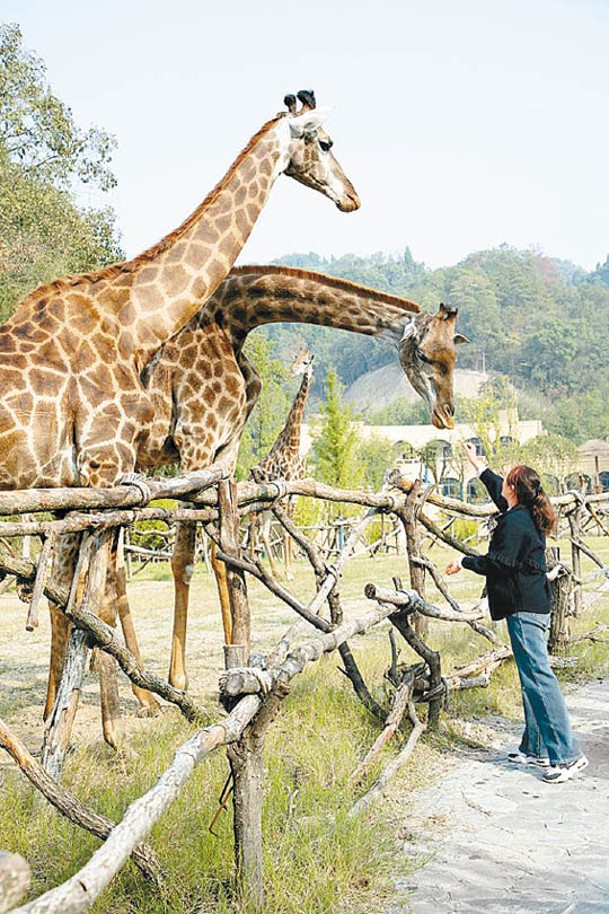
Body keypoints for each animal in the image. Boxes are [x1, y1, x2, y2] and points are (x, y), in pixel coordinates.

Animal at [247, 348, 314, 576]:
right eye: (294, 361)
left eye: (305, 362)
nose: (292, 372)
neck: (293, 446)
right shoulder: (284, 491)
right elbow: (286, 531)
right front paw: (288, 572)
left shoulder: (294, 494)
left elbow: (291, 531)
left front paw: (289, 570)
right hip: (257, 506)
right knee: (252, 528)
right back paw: (256, 566)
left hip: (269, 507)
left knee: (264, 533)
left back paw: (273, 571)